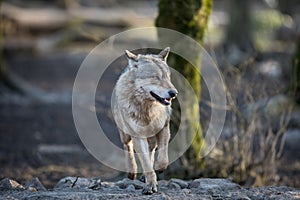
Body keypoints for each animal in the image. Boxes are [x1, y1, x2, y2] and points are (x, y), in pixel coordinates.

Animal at [113, 47, 178, 195]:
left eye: (168, 77)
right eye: (155, 77)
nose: (174, 93)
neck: (147, 110)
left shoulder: (164, 128)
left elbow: (162, 159)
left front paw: (158, 169)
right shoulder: (137, 136)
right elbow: (146, 163)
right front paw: (150, 186)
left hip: (152, 137)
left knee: (152, 149)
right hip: (125, 134)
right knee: (127, 146)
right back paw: (132, 171)